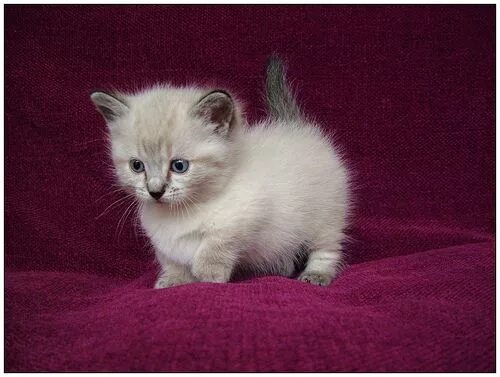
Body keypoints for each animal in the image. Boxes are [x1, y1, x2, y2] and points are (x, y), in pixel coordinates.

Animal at [92, 57, 350, 286]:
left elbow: (216, 244)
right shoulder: (164, 243)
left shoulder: (248, 215)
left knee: (326, 248)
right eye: (137, 166)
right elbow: (171, 261)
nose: (155, 191)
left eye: (179, 166)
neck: (180, 213)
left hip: (326, 218)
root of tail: (298, 127)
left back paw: (316, 275)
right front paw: (173, 281)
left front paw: (208, 275)